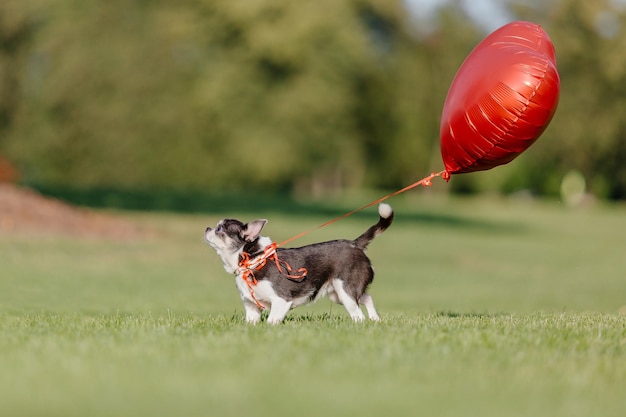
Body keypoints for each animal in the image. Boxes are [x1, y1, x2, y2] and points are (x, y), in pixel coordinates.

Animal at [204, 203, 390, 324]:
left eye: (220, 229)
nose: (207, 228)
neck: (253, 260)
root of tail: (355, 244)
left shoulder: (281, 301)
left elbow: (271, 321)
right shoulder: (251, 308)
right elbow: (251, 323)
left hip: (346, 291)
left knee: (358, 315)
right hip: (338, 294)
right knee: (366, 298)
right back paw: (375, 320)